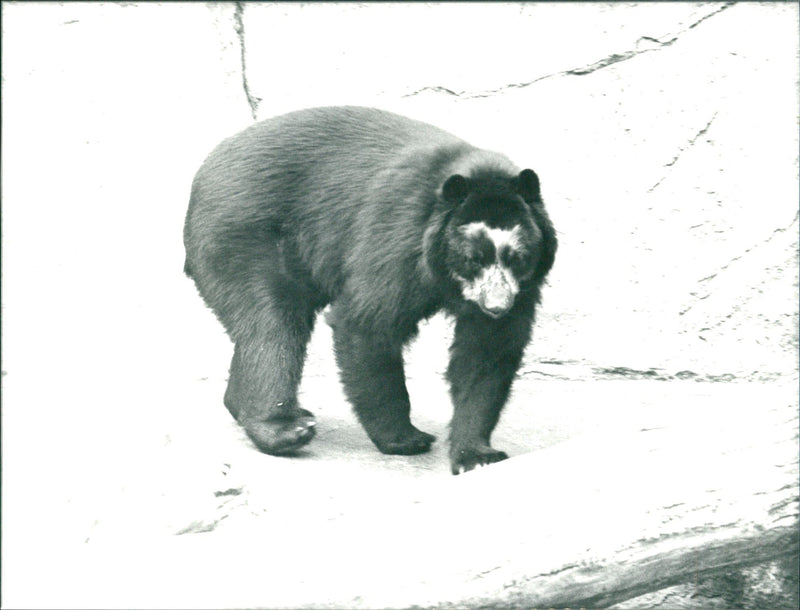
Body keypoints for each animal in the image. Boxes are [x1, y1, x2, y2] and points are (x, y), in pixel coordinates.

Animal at [183, 105, 556, 476]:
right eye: (472, 259)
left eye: (518, 258)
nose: (496, 306)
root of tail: (206, 168)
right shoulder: (397, 237)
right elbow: (368, 323)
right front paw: (406, 439)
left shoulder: (522, 286)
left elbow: (486, 352)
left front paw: (476, 456)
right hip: (243, 235)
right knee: (273, 324)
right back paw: (285, 429)